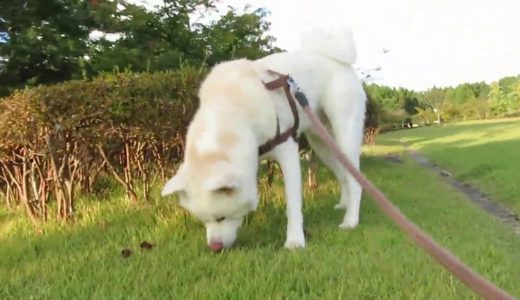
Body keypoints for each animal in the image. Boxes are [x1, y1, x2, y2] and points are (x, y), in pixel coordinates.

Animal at [160, 27, 368, 251]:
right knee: (343, 174)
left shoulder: (288, 152)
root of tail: (334, 58)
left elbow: (293, 204)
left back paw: (351, 220)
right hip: (321, 143)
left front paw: (295, 240)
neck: (232, 110)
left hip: (345, 135)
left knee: (356, 180)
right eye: (203, 221)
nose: (214, 247)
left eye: (221, 218)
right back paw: (344, 205)